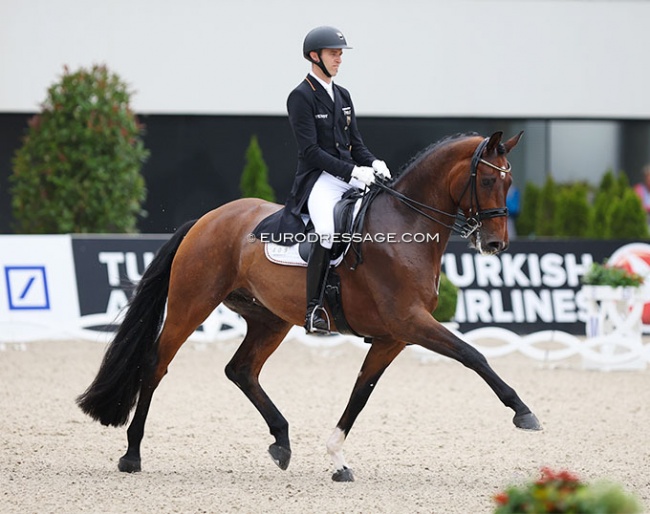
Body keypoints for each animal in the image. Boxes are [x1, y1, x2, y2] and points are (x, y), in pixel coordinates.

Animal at [76, 129, 540, 480]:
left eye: (509, 183)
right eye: (487, 182)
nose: (496, 245)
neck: (404, 225)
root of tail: (207, 219)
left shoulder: (392, 338)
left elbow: (361, 393)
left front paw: (337, 458)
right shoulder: (411, 322)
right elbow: (473, 354)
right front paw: (523, 412)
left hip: (269, 319)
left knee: (241, 370)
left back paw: (281, 442)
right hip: (192, 305)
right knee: (156, 364)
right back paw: (132, 455)